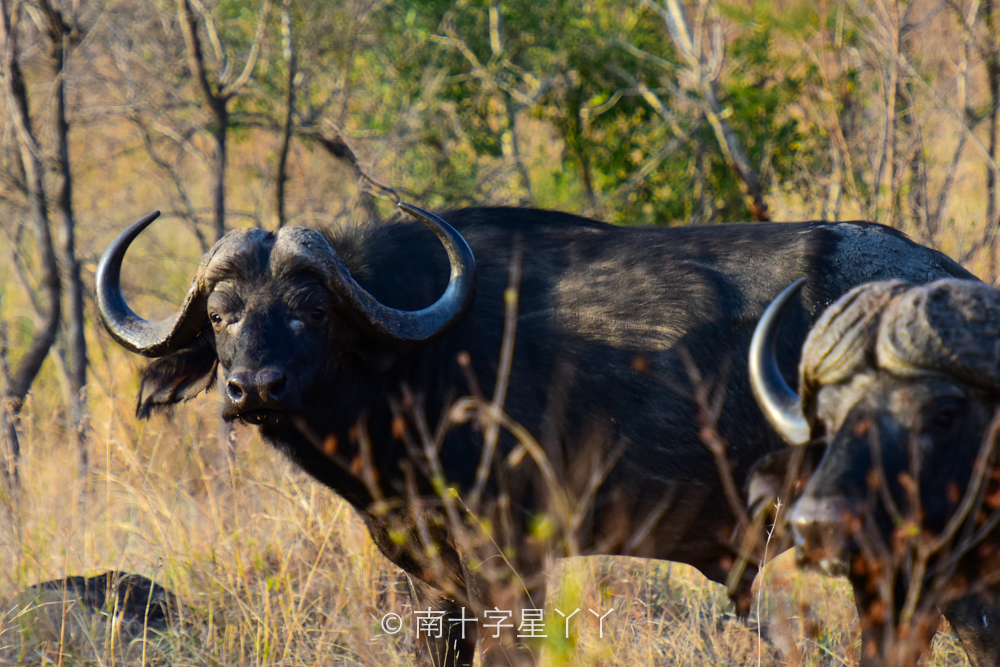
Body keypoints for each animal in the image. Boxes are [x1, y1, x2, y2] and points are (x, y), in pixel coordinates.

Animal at [97, 205, 972, 667]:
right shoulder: (433, 578)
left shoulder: (510, 560)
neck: (417, 364)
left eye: (311, 309)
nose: (253, 388)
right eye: (221, 316)